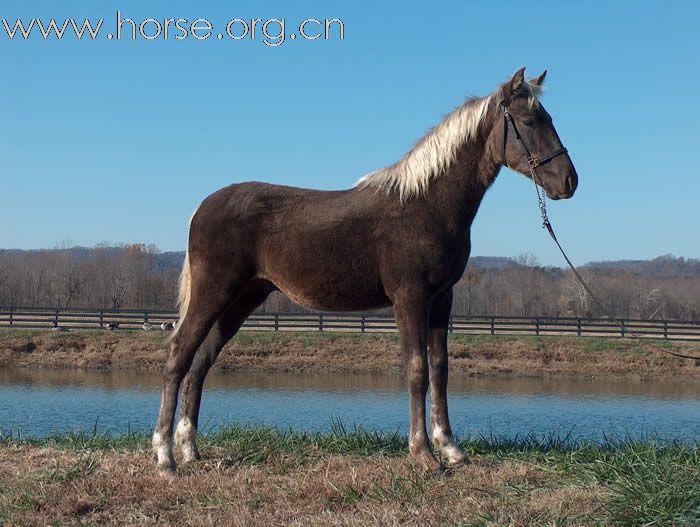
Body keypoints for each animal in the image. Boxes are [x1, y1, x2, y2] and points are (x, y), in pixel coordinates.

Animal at [153, 67, 580, 474]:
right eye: (529, 121)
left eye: (548, 118)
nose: (569, 181)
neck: (427, 203)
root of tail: (203, 206)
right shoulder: (409, 297)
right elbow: (416, 369)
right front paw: (423, 454)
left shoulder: (442, 298)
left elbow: (440, 368)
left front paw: (451, 449)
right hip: (214, 292)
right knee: (179, 354)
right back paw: (165, 457)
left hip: (242, 299)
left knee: (201, 362)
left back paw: (189, 450)